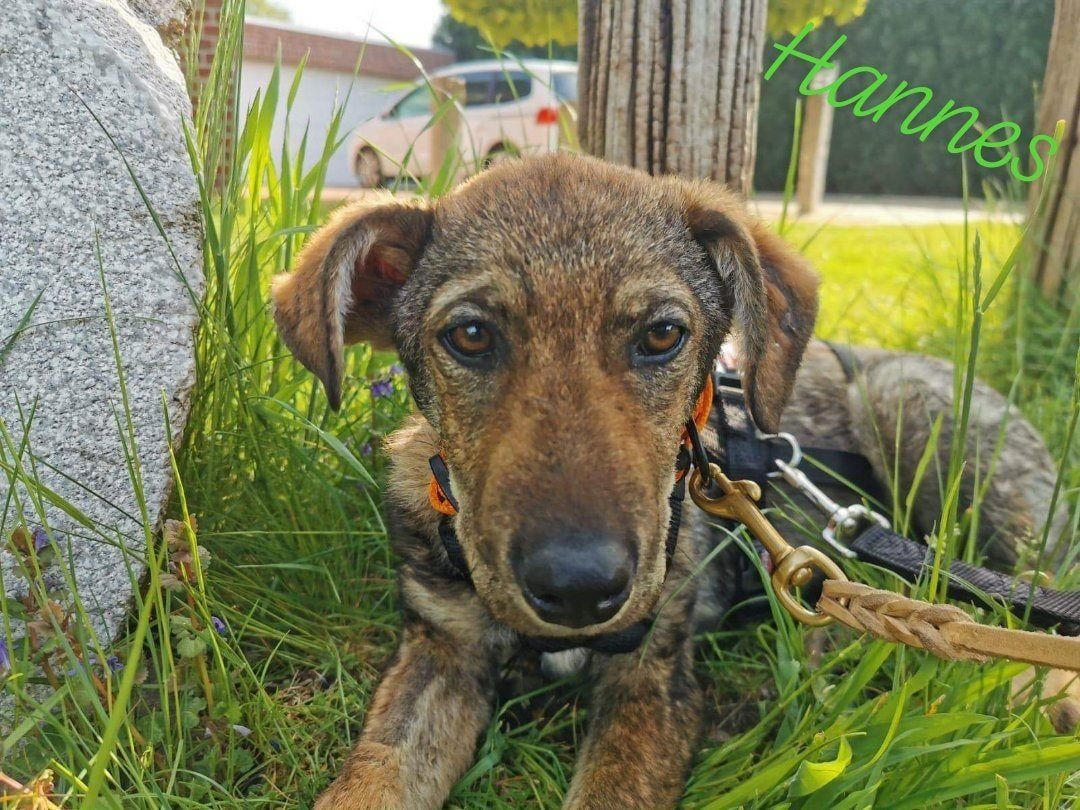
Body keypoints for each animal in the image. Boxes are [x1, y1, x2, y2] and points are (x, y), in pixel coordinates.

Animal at [272, 153, 1074, 809]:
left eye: (662, 335)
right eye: (470, 336)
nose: (579, 588)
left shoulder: (653, 678)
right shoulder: (439, 650)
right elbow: (370, 779)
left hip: (914, 408)